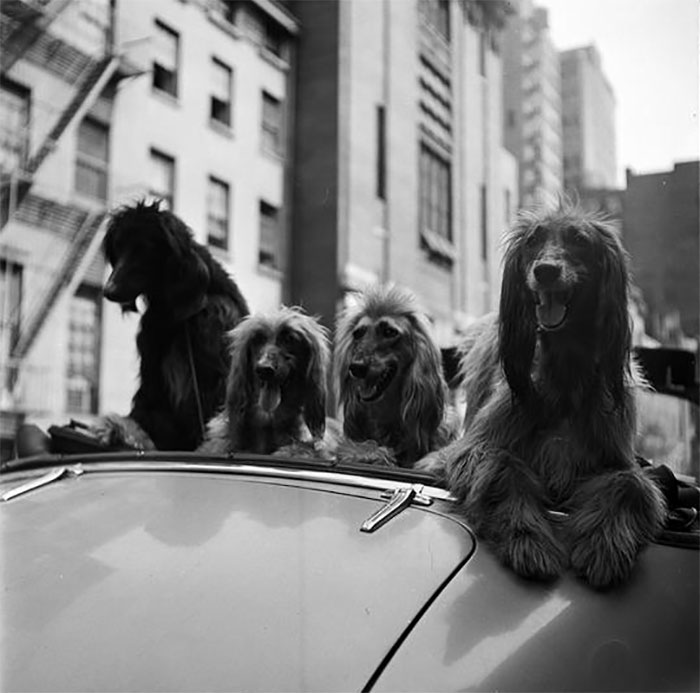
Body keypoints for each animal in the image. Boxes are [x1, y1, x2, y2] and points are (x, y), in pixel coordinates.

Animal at [418, 201, 664, 588]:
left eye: (580, 240)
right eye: (533, 240)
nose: (545, 271)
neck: (565, 374)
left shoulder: (614, 458)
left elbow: (631, 483)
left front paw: (603, 543)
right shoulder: (472, 449)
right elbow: (500, 466)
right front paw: (529, 538)